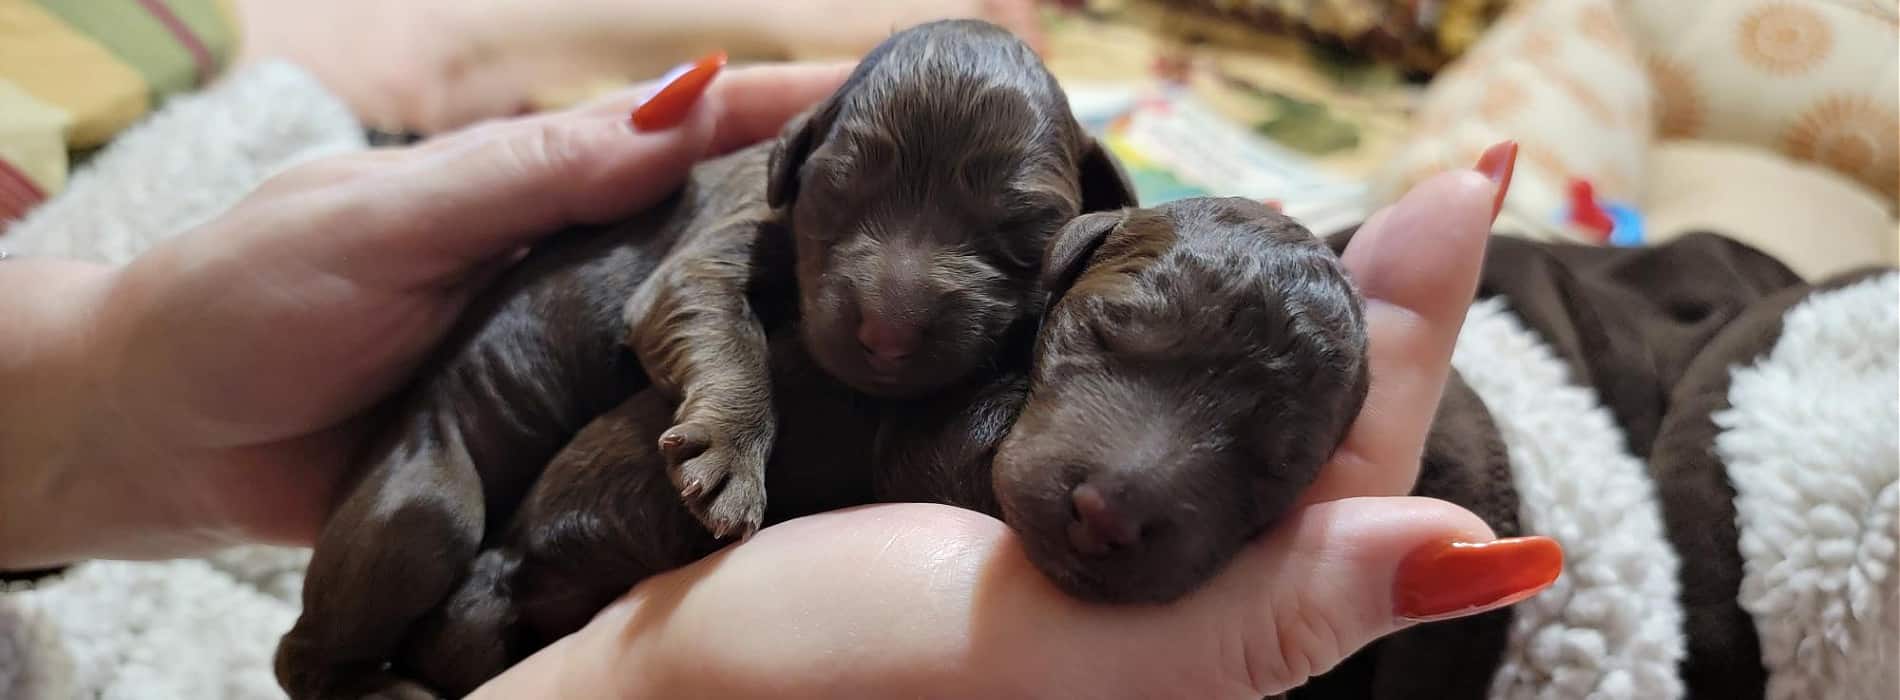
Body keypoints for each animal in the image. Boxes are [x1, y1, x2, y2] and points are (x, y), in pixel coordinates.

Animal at [267, 19, 1124, 696]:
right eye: (837, 192)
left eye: (1021, 227)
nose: (887, 334)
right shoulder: (722, 237)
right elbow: (716, 324)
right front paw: (729, 456)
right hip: (419, 500)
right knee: (308, 647)